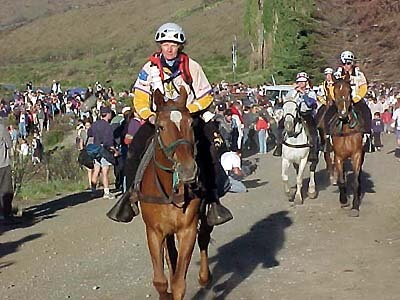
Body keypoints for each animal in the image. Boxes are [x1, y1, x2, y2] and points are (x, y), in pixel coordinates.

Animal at [138, 87, 212, 300]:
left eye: (190, 124)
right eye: (160, 127)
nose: (188, 170)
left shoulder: (187, 230)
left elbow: (179, 283)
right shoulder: (154, 232)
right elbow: (161, 282)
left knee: (204, 236)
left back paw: (205, 276)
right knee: (171, 254)